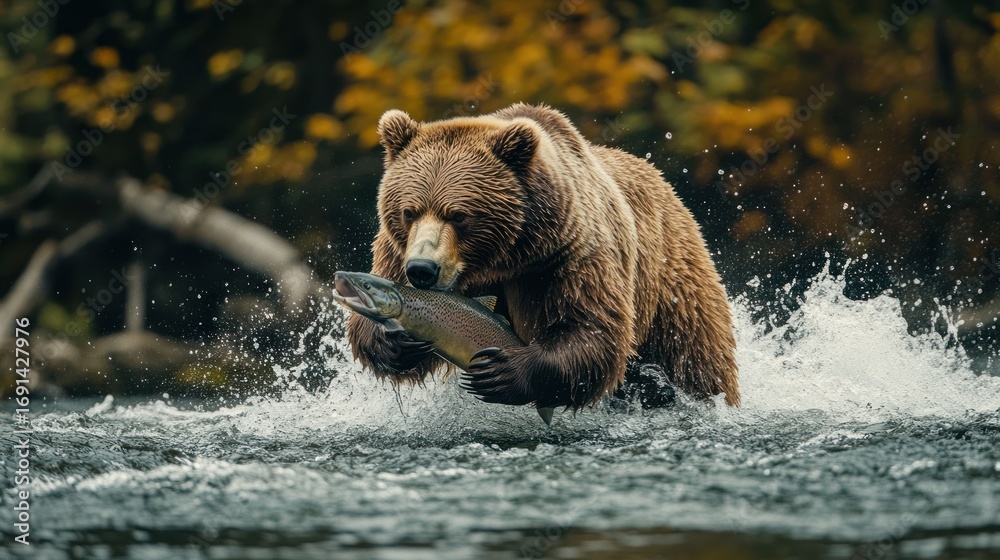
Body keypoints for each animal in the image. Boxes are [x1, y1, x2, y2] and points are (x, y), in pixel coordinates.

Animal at [346, 103, 740, 409]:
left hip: (671, 286)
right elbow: (367, 329)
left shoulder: (568, 255)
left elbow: (592, 328)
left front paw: (505, 372)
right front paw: (397, 340)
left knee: (695, 359)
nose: (422, 270)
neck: (505, 256)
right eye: (409, 211)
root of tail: (667, 186)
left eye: (458, 215)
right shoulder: (395, 249)